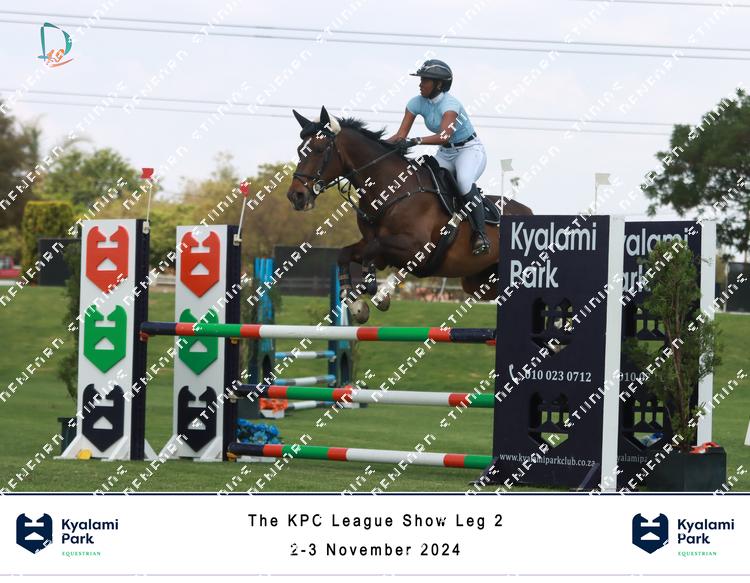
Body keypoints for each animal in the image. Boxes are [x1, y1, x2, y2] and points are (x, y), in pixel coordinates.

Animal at [286, 106, 533, 323]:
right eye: (300, 150)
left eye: (319, 149)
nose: (295, 196)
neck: (390, 190)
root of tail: (530, 212)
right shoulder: (382, 250)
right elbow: (346, 254)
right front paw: (358, 305)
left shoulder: (417, 248)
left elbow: (372, 250)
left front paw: (376, 290)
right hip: (478, 281)